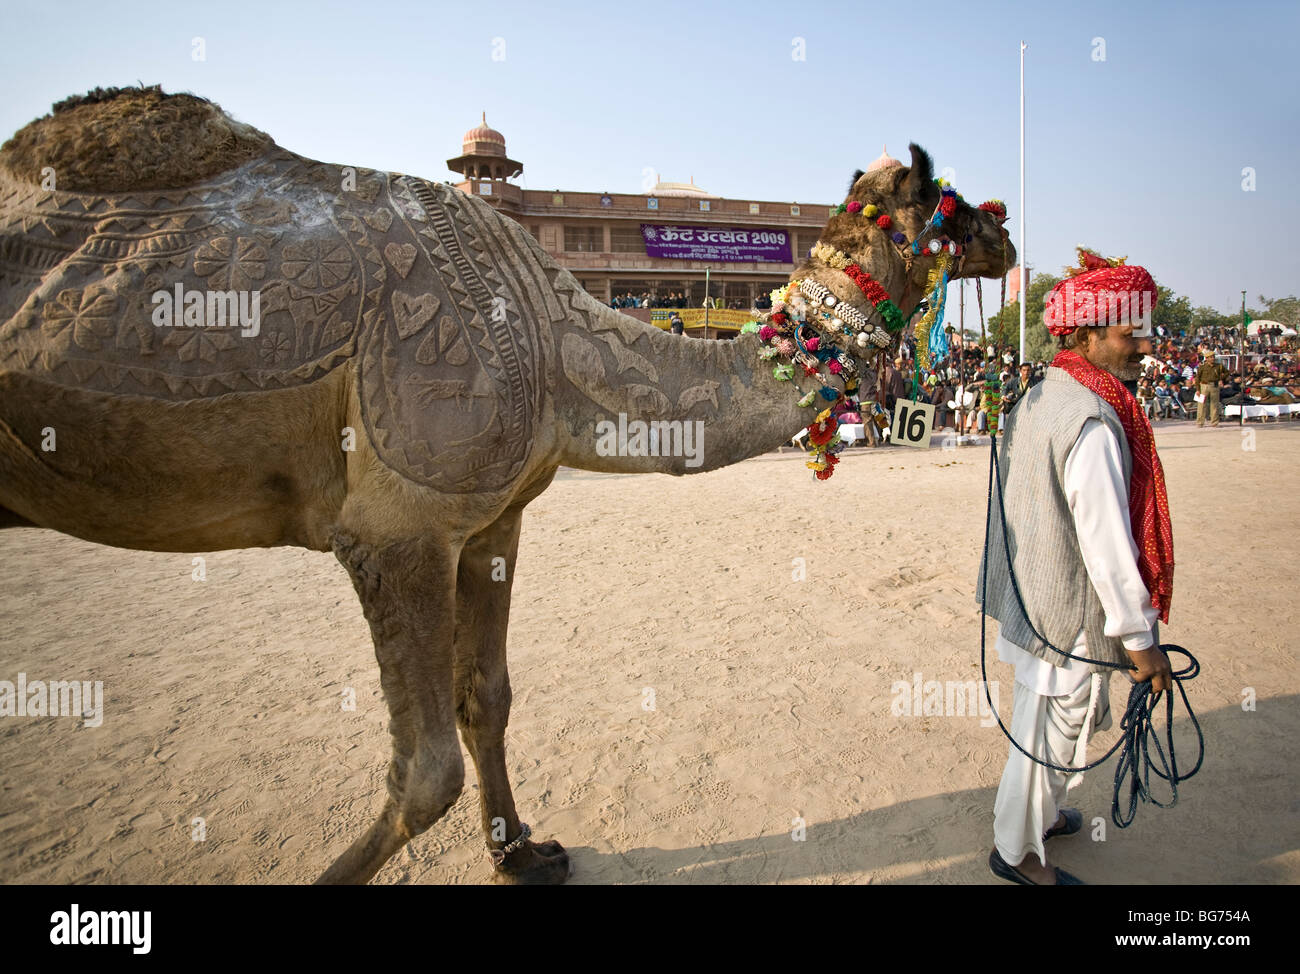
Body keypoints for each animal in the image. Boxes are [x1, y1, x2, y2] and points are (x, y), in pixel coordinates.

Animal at [0, 87, 1014, 884]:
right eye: (953, 207)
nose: (1006, 232)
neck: (556, 338)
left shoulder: (490, 523)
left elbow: (487, 696)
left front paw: (521, 850)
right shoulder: (396, 527)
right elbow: (425, 773)